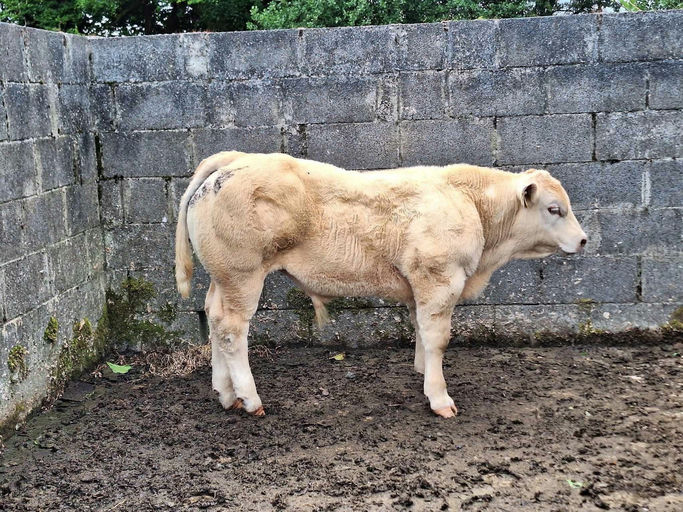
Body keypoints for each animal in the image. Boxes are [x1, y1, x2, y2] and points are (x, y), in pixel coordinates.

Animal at [175, 151, 587, 418]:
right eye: (554, 209)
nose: (583, 240)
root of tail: (235, 159)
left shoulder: (419, 285)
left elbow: (421, 328)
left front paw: (421, 370)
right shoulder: (440, 279)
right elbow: (438, 337)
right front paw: (439, 398)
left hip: (223, 278)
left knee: (214, 319)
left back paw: (225, 393)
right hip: (243, 274)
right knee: (232, 329)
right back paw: (249, 398)